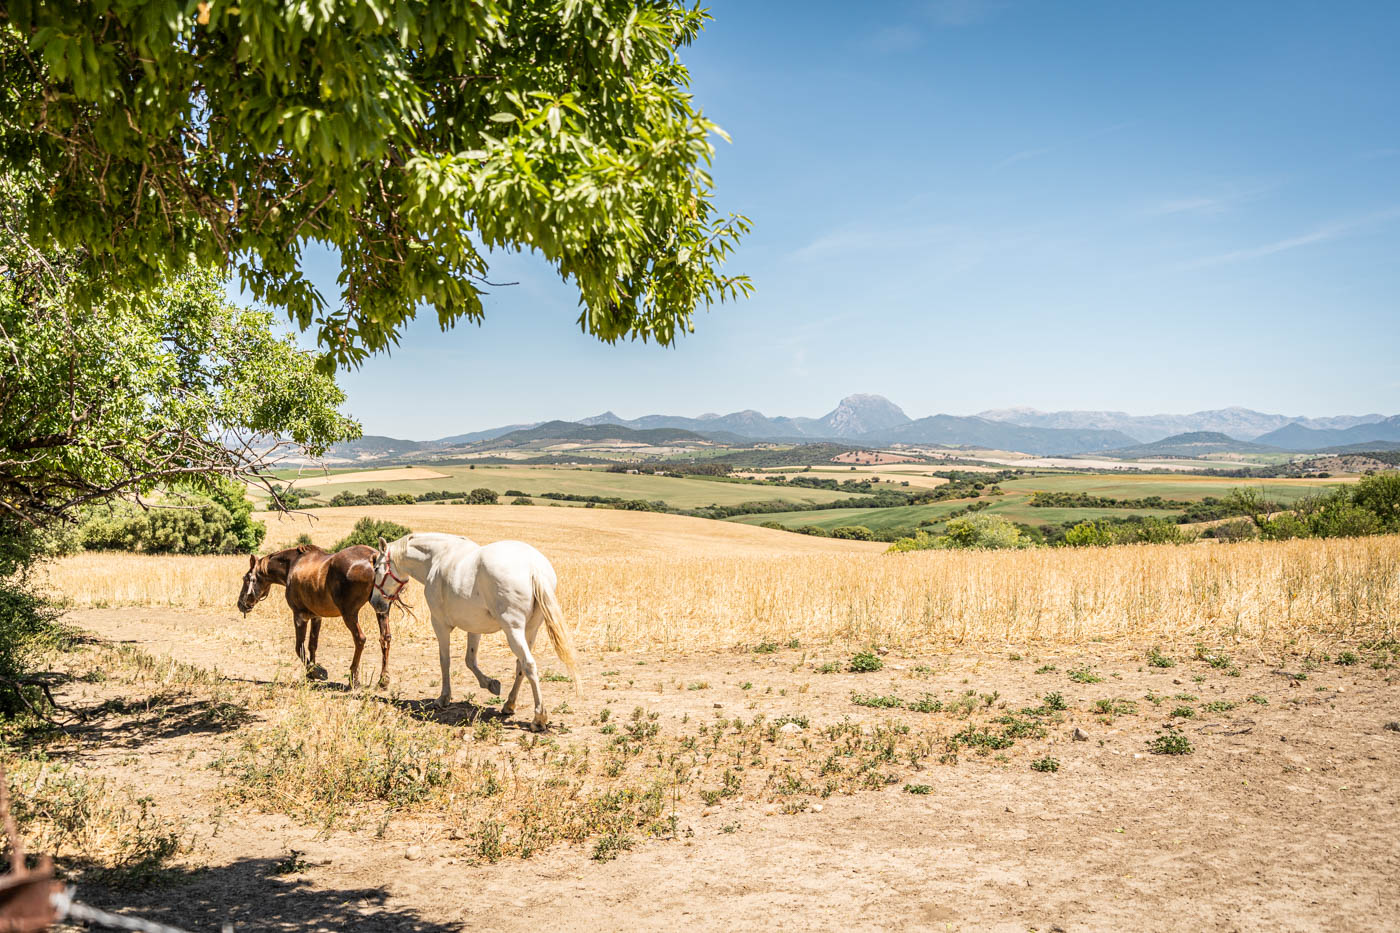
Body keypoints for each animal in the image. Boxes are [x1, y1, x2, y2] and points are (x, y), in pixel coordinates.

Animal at [237, 544, 393, 688]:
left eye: (246, 579)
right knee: (385, 638)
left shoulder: (299, 616)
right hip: (381, 610)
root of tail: (372, 556)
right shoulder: (316, 617)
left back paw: (353, 679)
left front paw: (316, 671)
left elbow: (299, 647)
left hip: (349, 614)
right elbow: (312, 644)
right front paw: (311, 671)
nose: (240, 604)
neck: (293, 565)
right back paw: (383, 680)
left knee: (360, 639)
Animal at [370, 532, 579, 730]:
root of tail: (533, 566)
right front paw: (491, 684)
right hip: (531, 630)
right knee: (521, 665)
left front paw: (443, 698)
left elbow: (445, 660)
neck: (437, 558)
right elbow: (470, 660)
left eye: (377, 568)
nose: (375, 602)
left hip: (513, 629)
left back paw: (538, 718)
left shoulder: (439, 624)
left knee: (529, 664)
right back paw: (509, 705)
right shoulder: (474, 628)